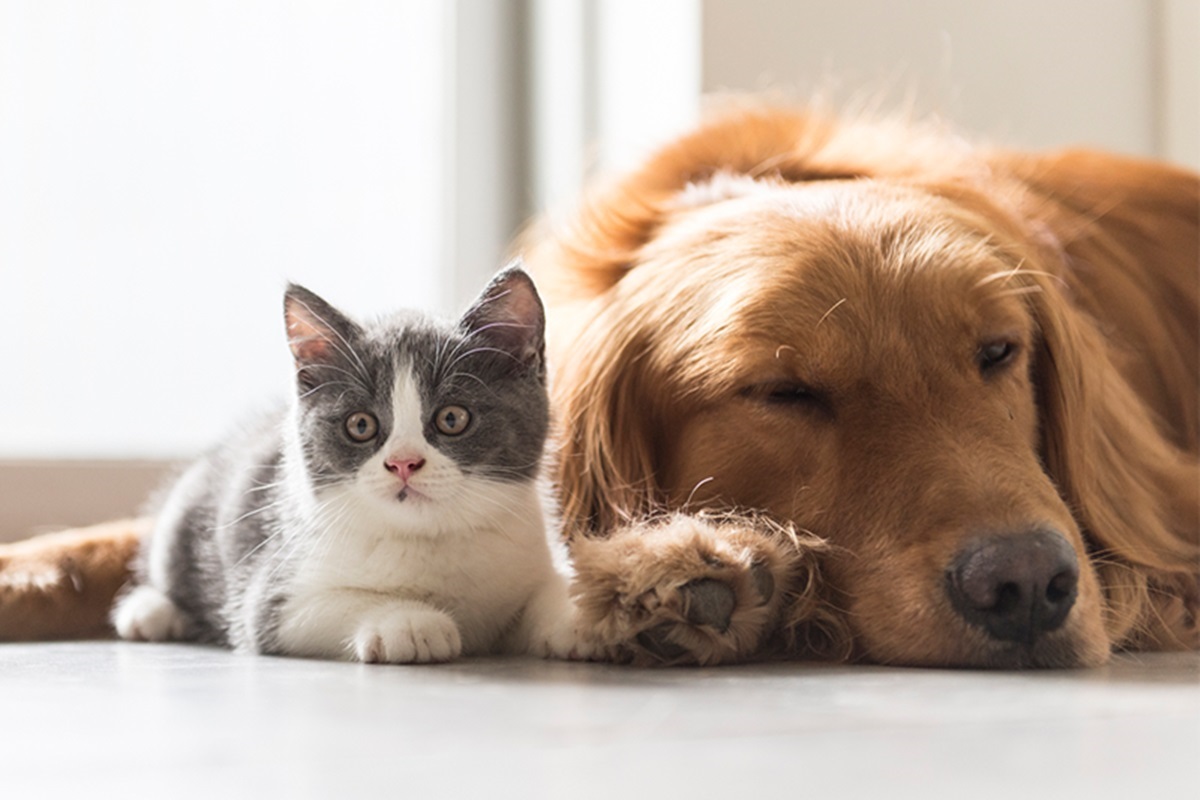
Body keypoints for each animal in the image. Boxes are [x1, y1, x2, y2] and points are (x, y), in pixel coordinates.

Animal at [110, 262, 588, 662]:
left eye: (452, 418)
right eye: (361, 425)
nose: (403, 463)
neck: (430, 538)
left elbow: (547, 588)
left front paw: (580, 614)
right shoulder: (272, 597)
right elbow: (329, 602)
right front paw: (409, 621)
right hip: (184, 516)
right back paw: (149, 612)